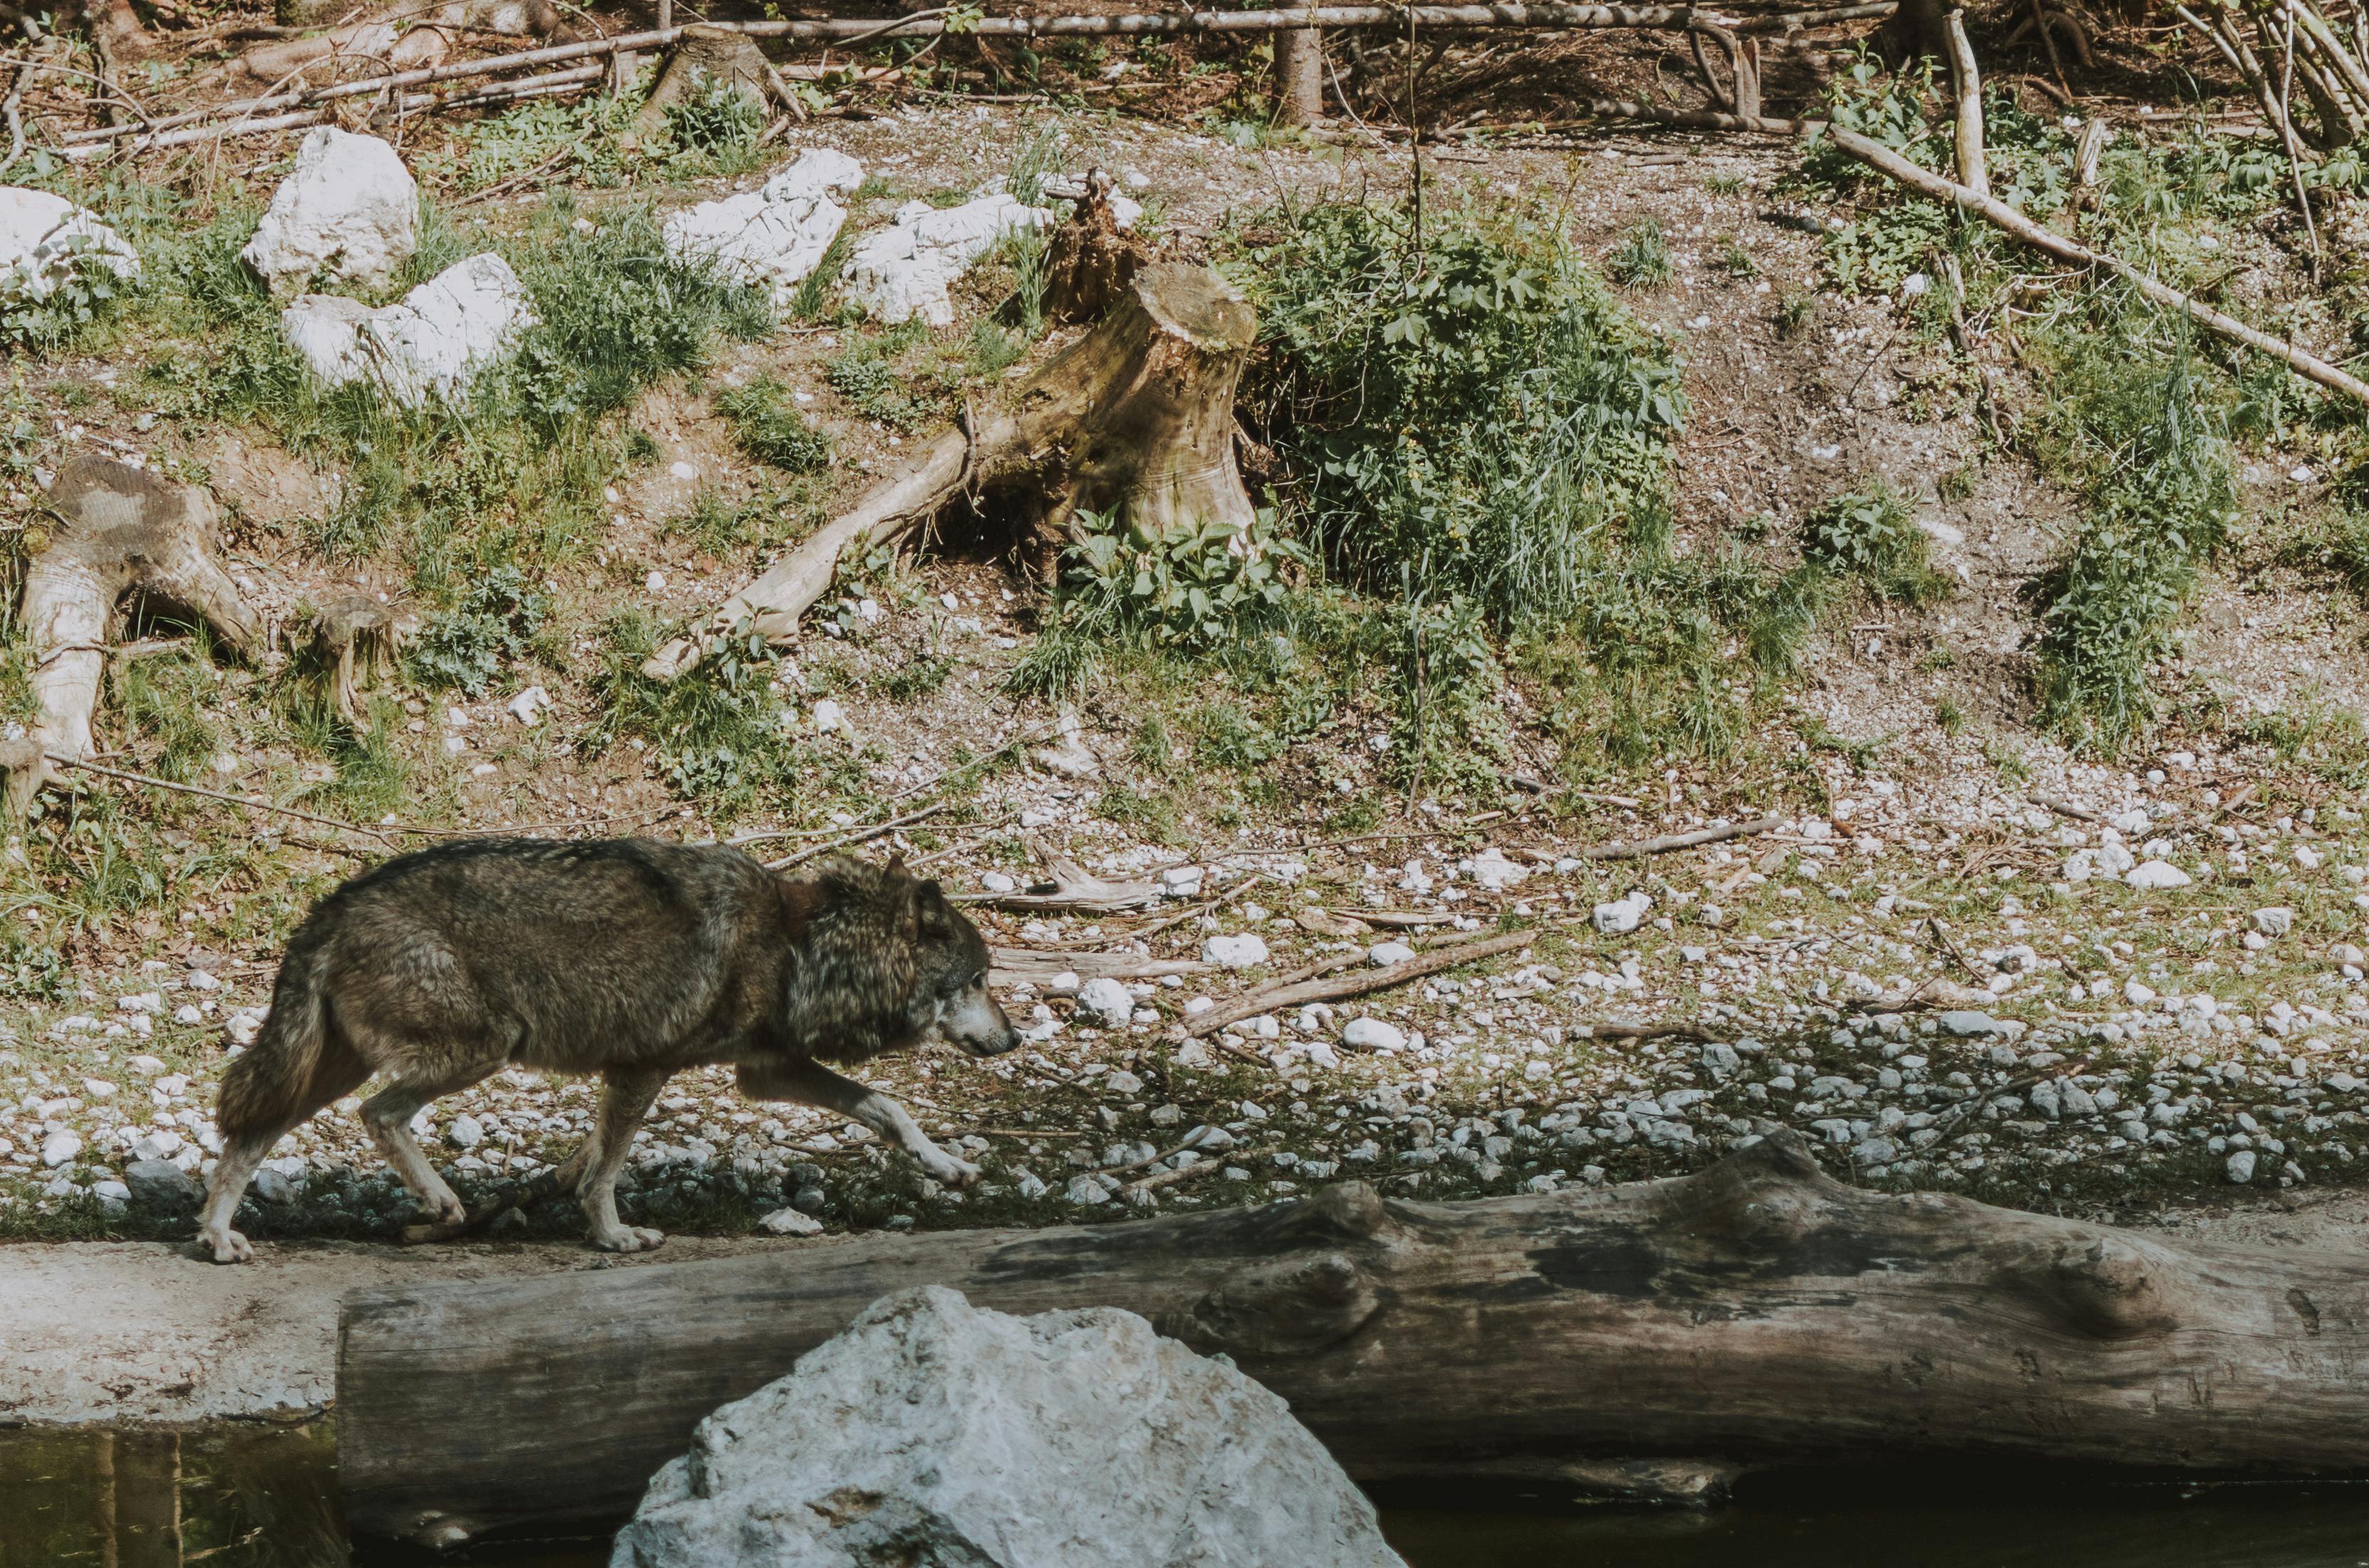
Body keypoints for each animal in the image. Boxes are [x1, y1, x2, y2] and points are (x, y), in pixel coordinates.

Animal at [198, 848, 1013, 1269]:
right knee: (379, 1115)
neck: (799, 947)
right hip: (480, 1048)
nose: (1013, 1039)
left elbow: (887, 1107)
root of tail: (329, 906)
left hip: (331, 1068)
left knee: (248, 1135)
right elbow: (607, 1171)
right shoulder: (641, 1068)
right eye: (978, 979)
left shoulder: (765, 1070)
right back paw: (440, 1203)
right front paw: (614, 1235)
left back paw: (218, 1238)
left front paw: (948, 1168)